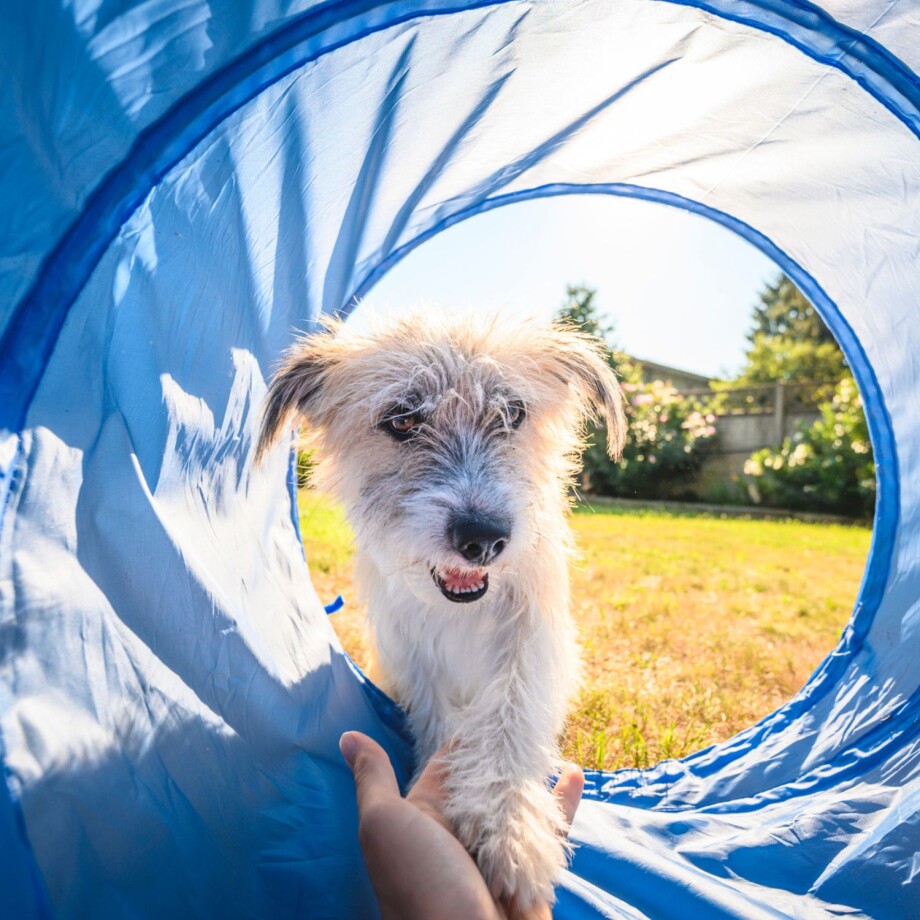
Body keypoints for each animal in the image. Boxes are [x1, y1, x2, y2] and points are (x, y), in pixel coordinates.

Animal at [255, 310, 620, 912]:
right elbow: (436, 718)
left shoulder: (532, 644)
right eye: (402, 419)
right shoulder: (412, 657)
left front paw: (508, 829)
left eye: (513, 414)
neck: (463, 610)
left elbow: (509, 717)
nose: (484, 538)